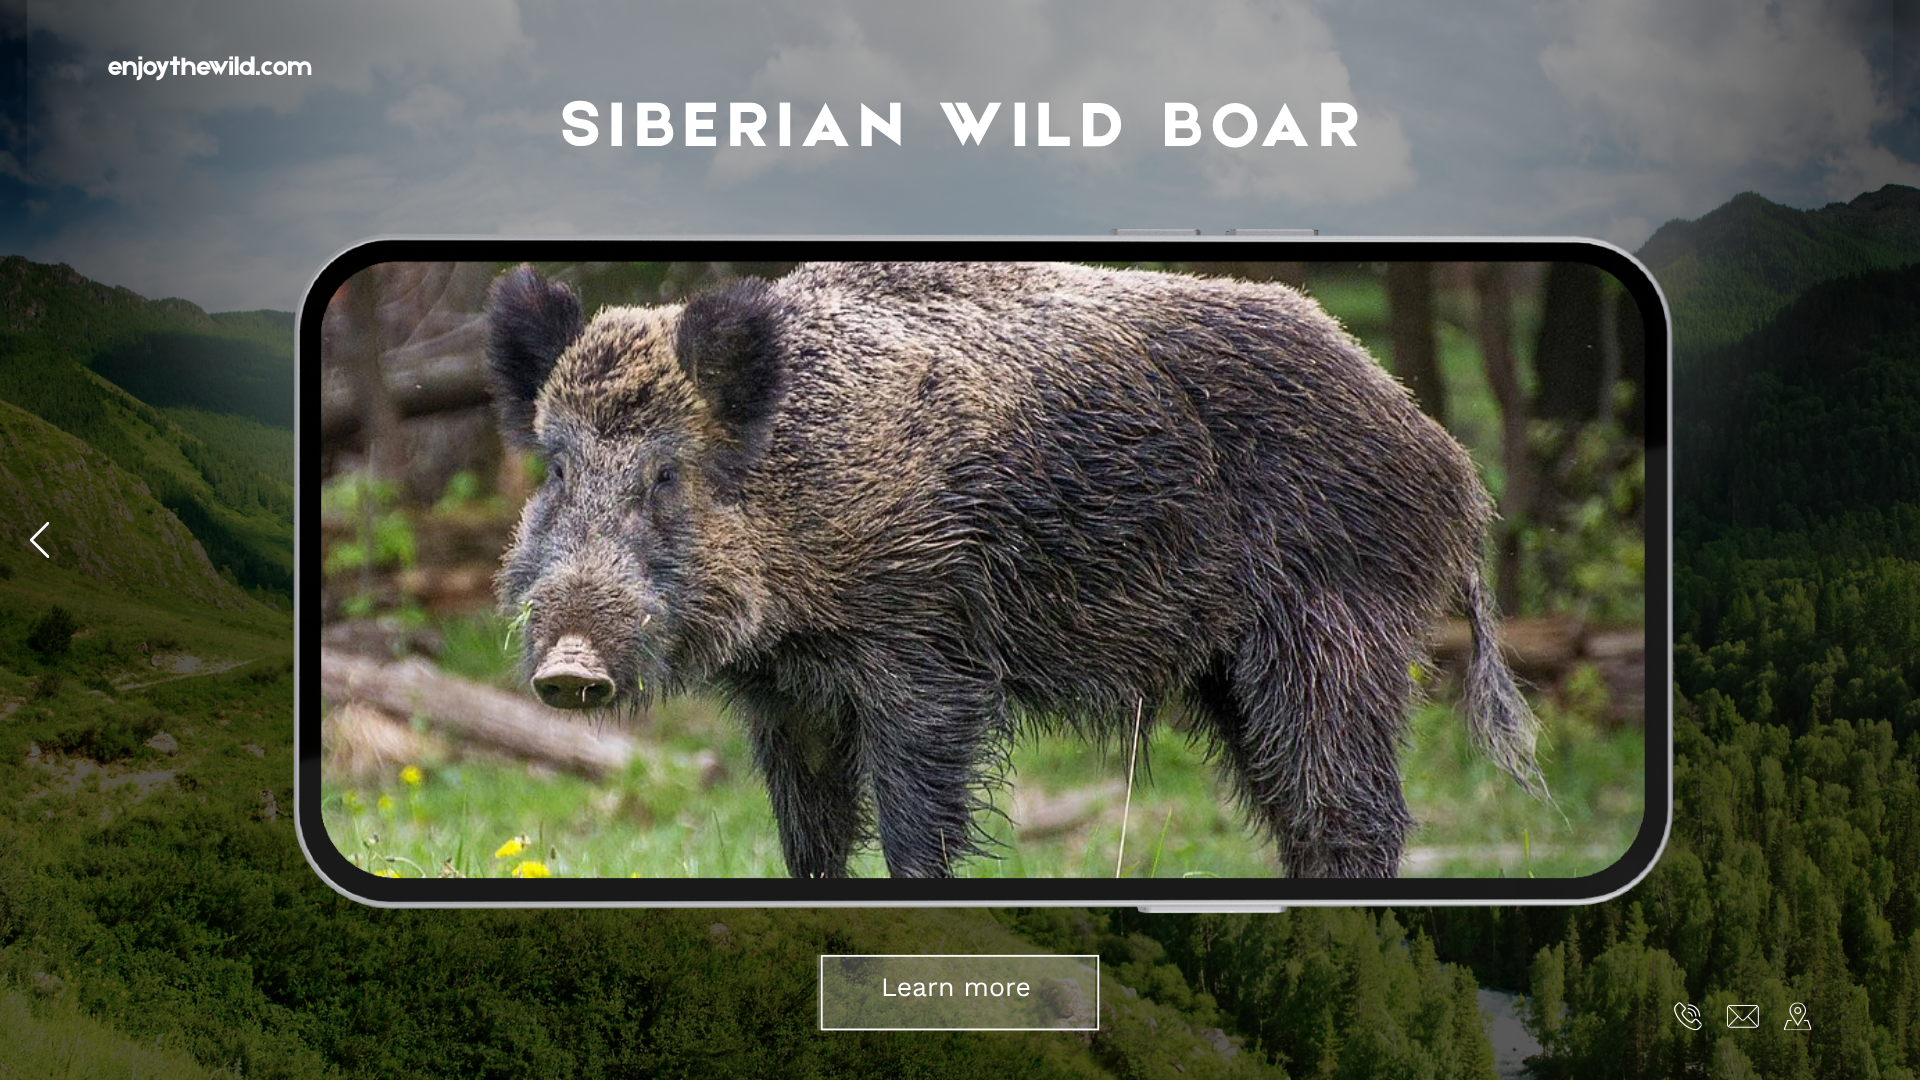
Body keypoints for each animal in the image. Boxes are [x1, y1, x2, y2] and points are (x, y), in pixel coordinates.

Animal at [486, 260, 1543, 879]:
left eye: (667, 472)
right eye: (556, 467)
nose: (569, 667)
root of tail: (1450, 465)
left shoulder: (925, 655)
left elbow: (917, 832)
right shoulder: (790, 697)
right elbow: (809, 840)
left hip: (1335, 626)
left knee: (1354, 812)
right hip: (1236, 672)